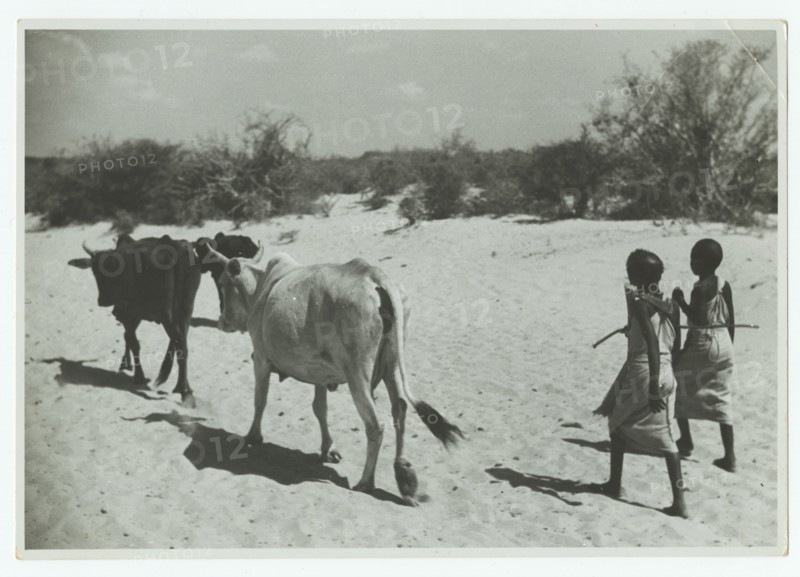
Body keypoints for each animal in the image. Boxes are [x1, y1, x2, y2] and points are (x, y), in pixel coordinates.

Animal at [68, 235, 202, 408]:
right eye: (94, 271)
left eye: (98, 273)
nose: (102, 301)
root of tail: (175, 248)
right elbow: (128, 338)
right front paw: (127, 363)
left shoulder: (128, 314)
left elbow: (133, 341)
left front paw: (137, 375)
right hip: (186, 308)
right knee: (181, 343)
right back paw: (182, 387)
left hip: (166, 316)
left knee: (179, 343)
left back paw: (185, 392)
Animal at [205, 243, 463, 505]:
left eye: (223, 283)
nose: (221, 321)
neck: (261, 288)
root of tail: (373, 274)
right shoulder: (319, 373)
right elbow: (320, 409)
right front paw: (328, 449)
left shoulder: (260, 357)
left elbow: (260, 399)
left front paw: (253, 436)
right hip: (391, 366)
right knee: (399, 409)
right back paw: (404, 475)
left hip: (357, 373)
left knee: (375, 425)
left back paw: (366, 482)